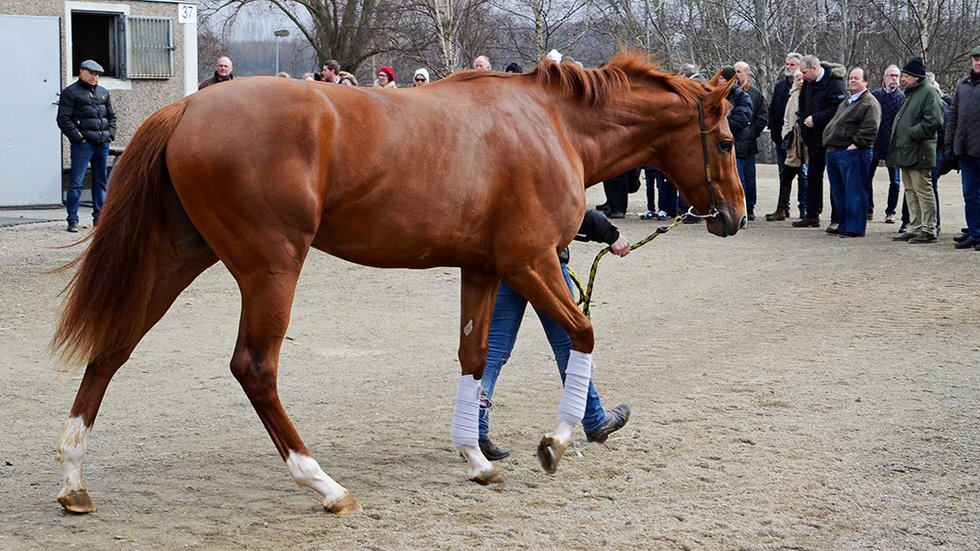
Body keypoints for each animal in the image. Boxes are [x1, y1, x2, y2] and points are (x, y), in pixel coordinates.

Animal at [51, 49, 744, 516]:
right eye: (728, 140)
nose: (733, 215)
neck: (551, 125)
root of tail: (187, 104)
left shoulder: (484, 269)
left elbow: (474, 356)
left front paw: (475, 458)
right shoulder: (531, 261)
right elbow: (581, 333)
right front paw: (556, 440)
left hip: (178, 258)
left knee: (112, 349)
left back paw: (73, 480)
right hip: (271, 265)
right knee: (254, 366)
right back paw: (323, 484)